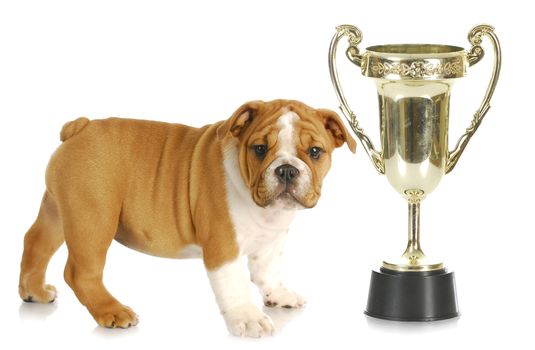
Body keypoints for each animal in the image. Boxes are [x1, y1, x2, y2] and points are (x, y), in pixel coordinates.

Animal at [18, 98, 358, 336]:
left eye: (315, 152)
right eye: (260, 149)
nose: (286, 169)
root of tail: (81, 127)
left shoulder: (271, 240)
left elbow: (267, 270)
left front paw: (277, 295)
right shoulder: (223, 245)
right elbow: (234, 284)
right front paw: (247, 318)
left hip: (59, 210)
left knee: (36, 242)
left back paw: (34, 293)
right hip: (93, 218)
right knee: (80, 272)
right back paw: (111, 311)